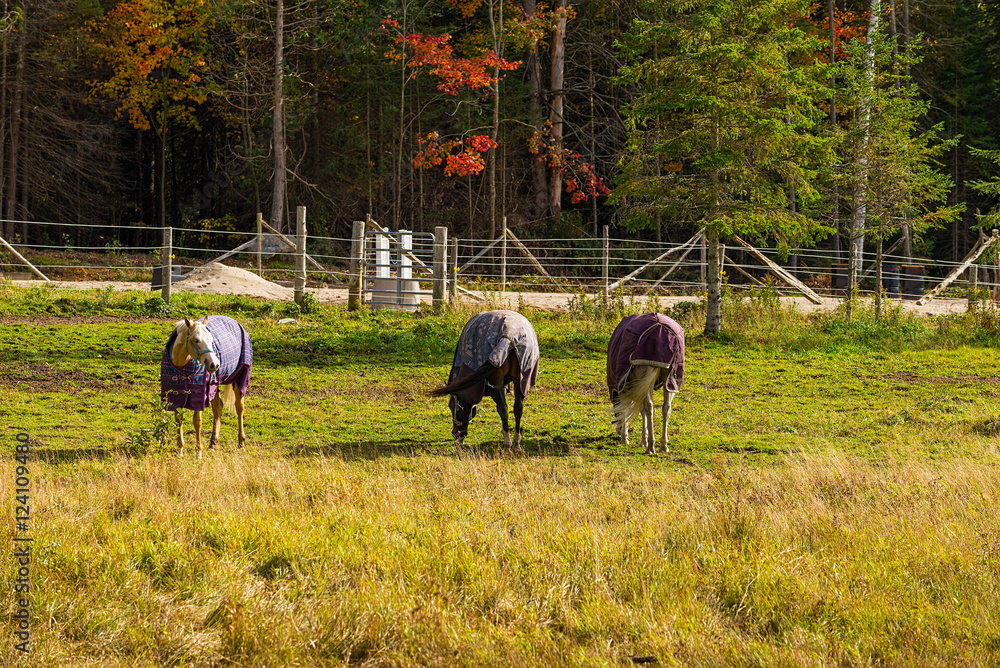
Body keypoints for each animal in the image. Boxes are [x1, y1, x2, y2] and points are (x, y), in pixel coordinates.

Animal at [160, 315, 254, 458]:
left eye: (211, 339)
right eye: (196, 340)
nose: (215, 364)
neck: (181, 367)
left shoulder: (198, 395)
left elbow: (197, 422)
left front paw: (198, 452)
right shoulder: (176, 395)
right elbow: (178, 420)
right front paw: (180, 450)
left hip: (239, 379)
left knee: (239, 407)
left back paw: (241, 442)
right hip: (214, 385)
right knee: (218, 407)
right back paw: (213, 442)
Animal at [430, 310, 539, 452]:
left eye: (451, 406)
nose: (454, 432)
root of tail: (509, 334)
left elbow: (467, 408)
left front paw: (461, 438)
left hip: (496, 382)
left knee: (503, 409)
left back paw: (507, 444)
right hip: (519, 380)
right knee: (518, 408)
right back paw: (516, 443)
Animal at [606, 313, 685, 455]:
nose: (618, 430)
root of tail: (660, 329)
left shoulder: (623, 387)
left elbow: (629, 409)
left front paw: (625, 439)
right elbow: (642, 410)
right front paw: (643, 440)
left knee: (649, 407)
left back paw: (651, 447)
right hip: (670, 380)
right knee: (666, 407)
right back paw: (663, 445)